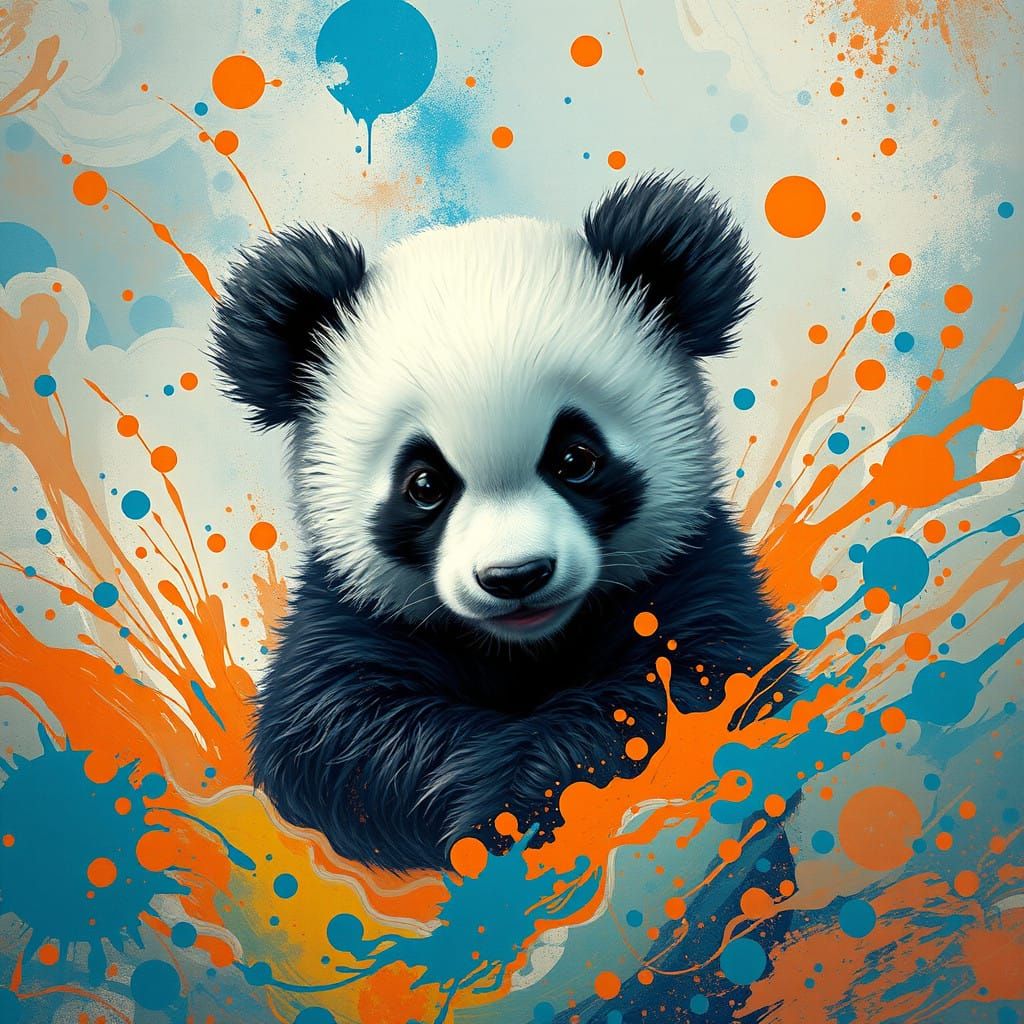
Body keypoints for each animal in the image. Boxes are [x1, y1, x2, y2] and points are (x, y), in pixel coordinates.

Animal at [211, 173, 792, 872]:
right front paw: (494, 816)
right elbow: (332, 731)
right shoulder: (352, 611)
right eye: (424, 485)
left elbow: (693, 685)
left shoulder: (690, 570)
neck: (526, 646)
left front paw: (522, 806)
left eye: (576, 459)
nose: (516, 577)